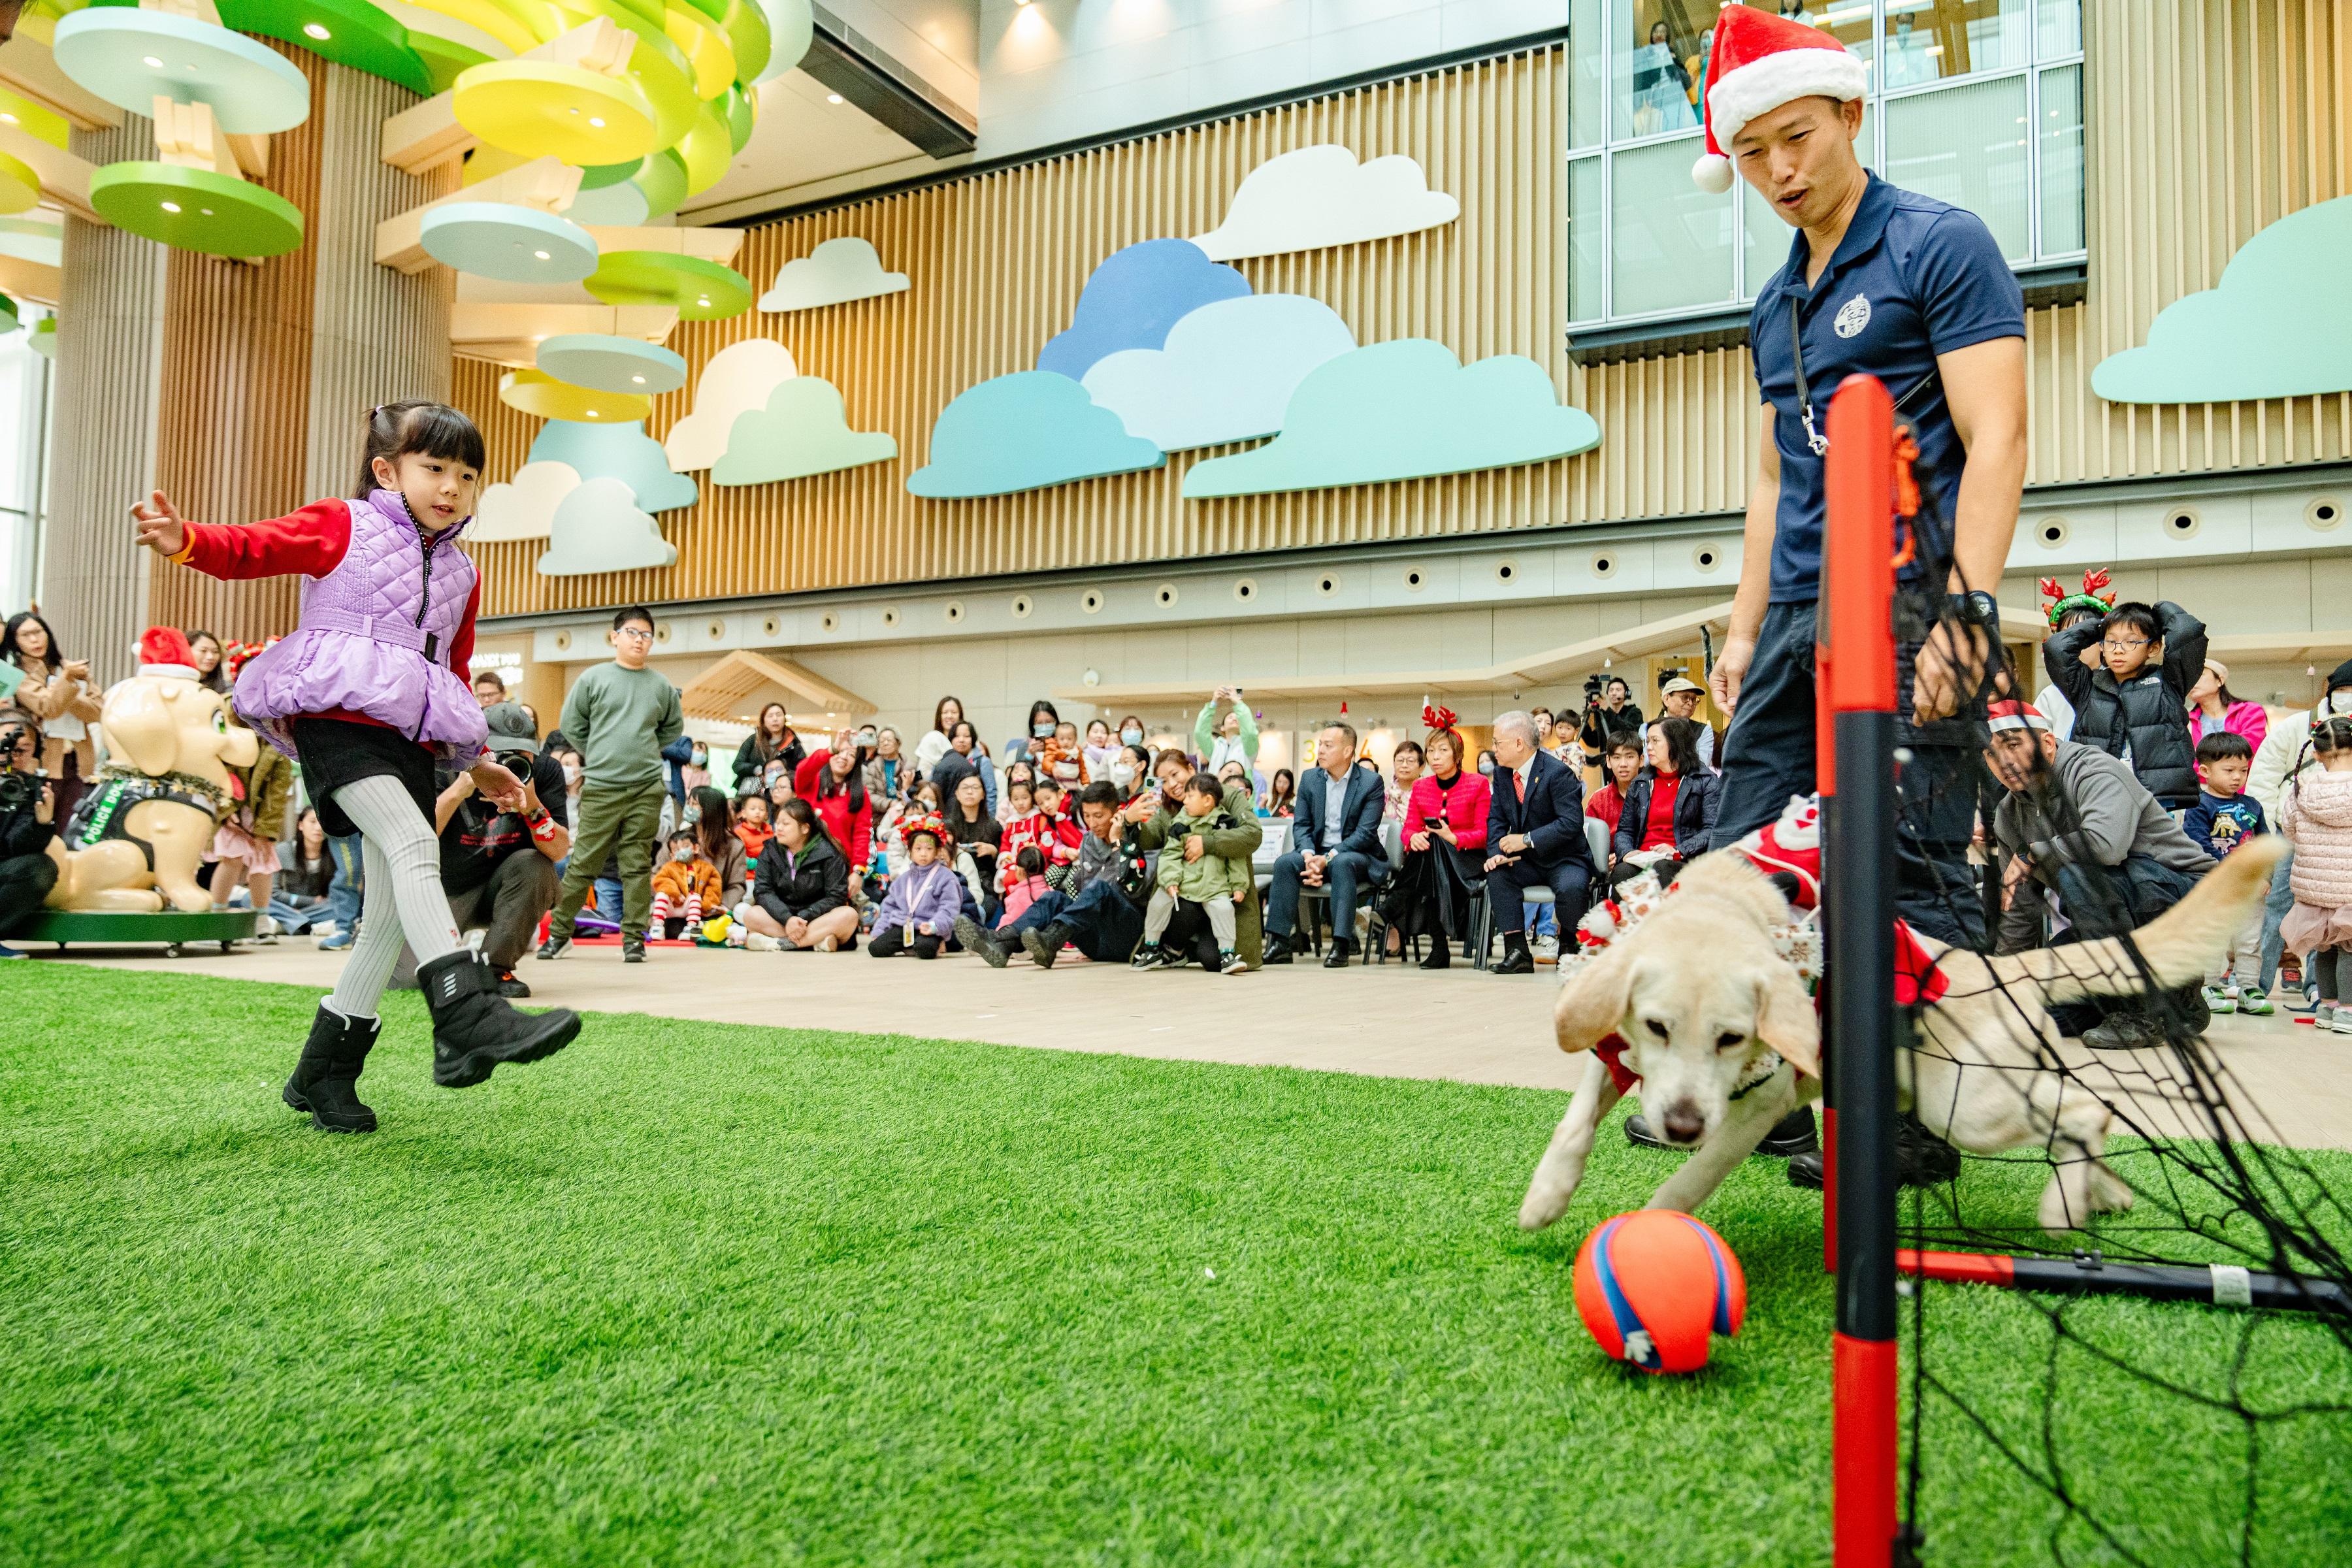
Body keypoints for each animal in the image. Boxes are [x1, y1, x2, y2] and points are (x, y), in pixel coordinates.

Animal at [1514, 841, 2286, 1241]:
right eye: (1656, 1027)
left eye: (1734, 1039)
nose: (1677, 1124)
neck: (1727, 906)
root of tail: (1999, 965)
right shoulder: (1614, 1049)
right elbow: (1574, 1124)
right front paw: (1546, 1197)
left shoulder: (1758, 1104)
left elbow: (1699, 1172)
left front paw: (1656, 1220)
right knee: (2088, 1114)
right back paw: (2107, 1195)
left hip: (1969, 1104)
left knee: (2090, 1112)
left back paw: (2064, 1208)